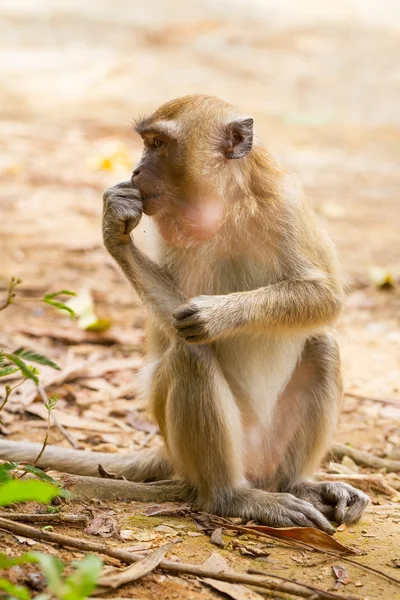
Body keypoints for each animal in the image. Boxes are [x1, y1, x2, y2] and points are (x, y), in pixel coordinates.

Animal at [0, 96, 368, 532]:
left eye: (158, 144)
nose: (136, 170)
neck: (226, 207)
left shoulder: (287, 204)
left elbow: (325, 297)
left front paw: (217, 315)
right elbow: (172, 326)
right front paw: (114, 225)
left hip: (268, 446)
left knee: (321, 346)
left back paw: (294, 485)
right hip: (201, 451)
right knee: (191, 354)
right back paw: (232, 497)